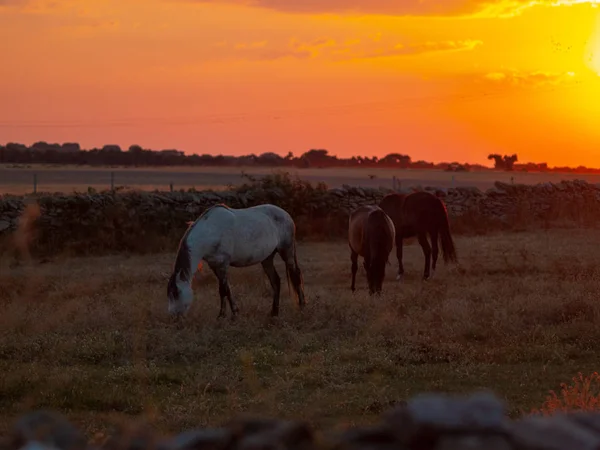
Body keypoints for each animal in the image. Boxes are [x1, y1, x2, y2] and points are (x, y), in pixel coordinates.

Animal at [168, 202, 304, 318]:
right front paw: (229, 314)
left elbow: (223, 290)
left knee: (295, 276)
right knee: (275, 281)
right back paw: (274, 312)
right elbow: (225, 289)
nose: (174, 318)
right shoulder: (215, 266)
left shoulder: (223, 264)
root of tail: (286, 214)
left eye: (176, 293)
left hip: (287, 251)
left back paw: (301, 306)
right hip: (267, 258)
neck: (210, 232)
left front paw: (227, 315)